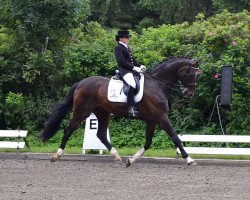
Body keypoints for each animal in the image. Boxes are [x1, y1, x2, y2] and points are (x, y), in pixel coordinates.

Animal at [42, 55, 200, 166]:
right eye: (191, 74)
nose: (190, 94)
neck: (157, 84)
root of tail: (81, 83)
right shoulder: (161, 117)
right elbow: (175, 138)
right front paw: (190, 159)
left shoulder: (152, 120)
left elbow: (148, 142)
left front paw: (131, 160)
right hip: (82, 112)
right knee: (68, 130)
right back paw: (56, 156)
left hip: (103, 113)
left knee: (101, 135)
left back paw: (117, 156)